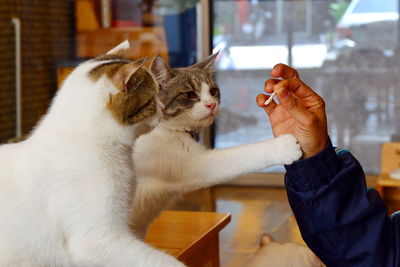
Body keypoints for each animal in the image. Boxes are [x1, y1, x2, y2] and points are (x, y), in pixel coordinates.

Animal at [131, 54, 304, 239]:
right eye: (190, 94)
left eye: (213, 91)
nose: (212, 105)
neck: (169, 130)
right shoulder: (194, 164)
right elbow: (243, 154)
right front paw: (283, 147)